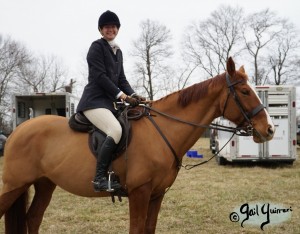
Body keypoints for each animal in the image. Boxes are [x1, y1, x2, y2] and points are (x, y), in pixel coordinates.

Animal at [0, 57, 274, 233]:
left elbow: (149, 228)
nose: (269, 129)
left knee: (33, 219)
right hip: (14, 185)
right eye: (245, 92)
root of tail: (17, 131)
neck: (162, 131)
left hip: (44, 183)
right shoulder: (139, 193)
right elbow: (137, 228)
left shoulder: (156, 195)